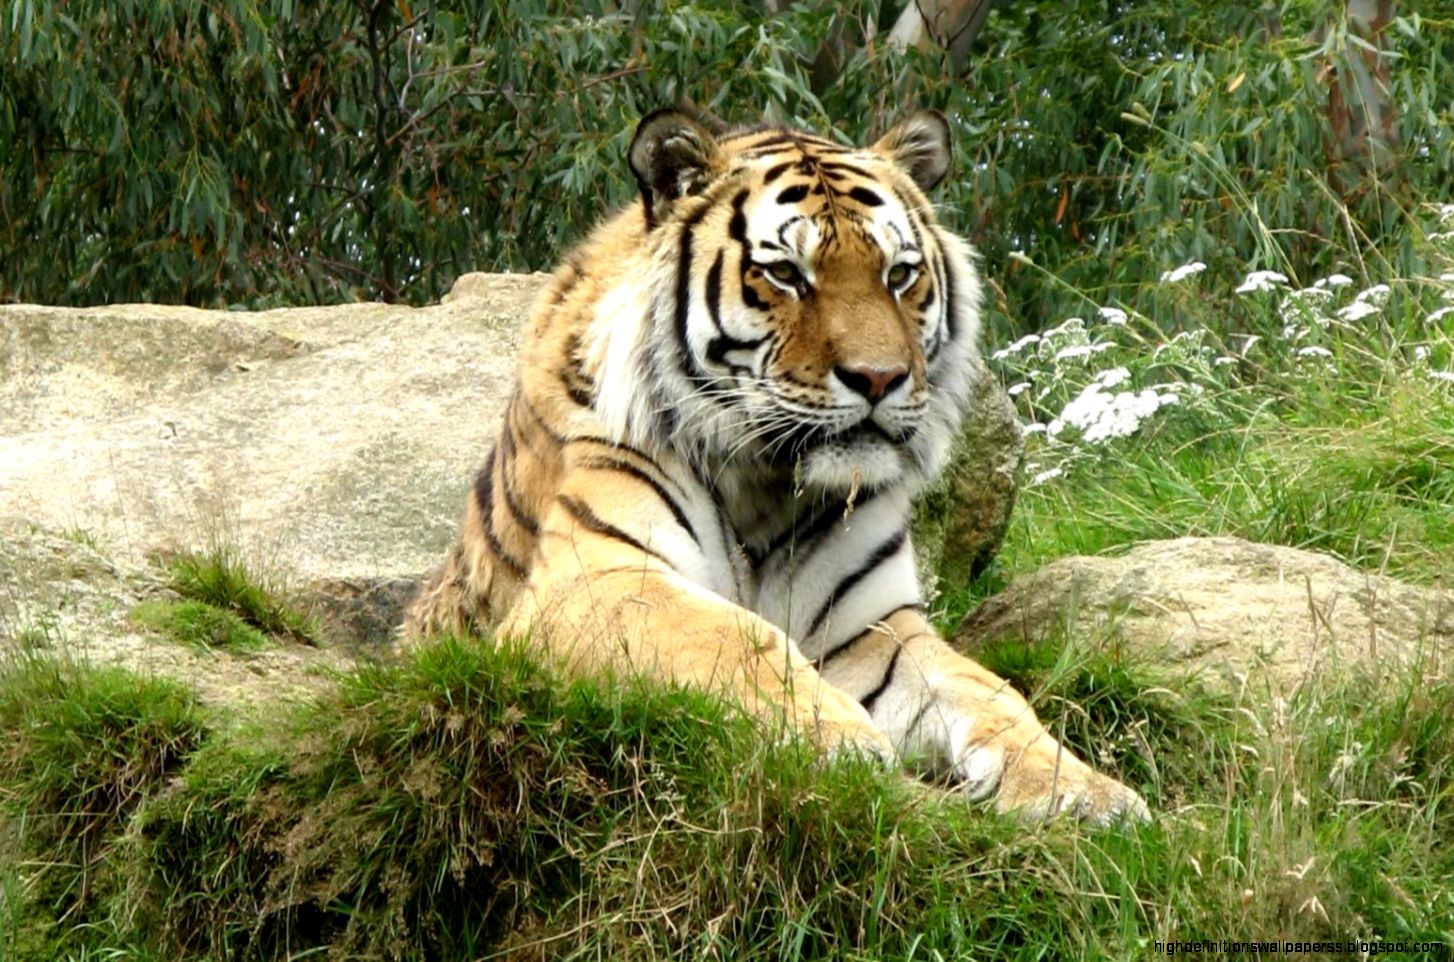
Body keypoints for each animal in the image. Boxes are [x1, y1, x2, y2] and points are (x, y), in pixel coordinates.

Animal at [403, 108, 1148, 824]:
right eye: (787, 274)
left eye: (899, 274)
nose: (879, 379)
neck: (767, 484)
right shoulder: (596, 581)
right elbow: (733, 639)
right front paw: (844, 740)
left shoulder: (872, 627)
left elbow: (990, 691)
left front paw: (1083, 790)